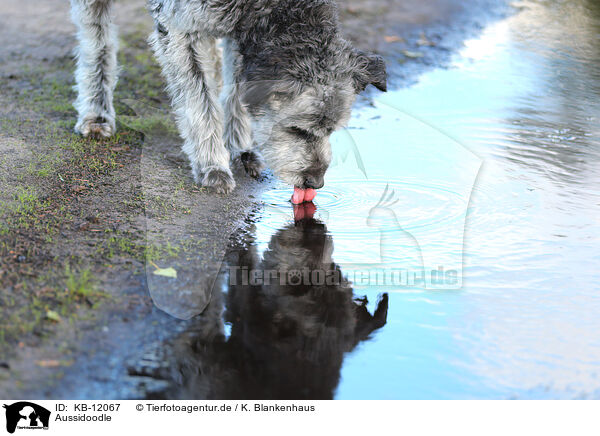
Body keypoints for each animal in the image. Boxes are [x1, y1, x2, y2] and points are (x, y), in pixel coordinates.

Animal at [70, 0, 390, 192]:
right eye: (297, 129)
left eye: (332, 130)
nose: (315, 182)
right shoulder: (177, 27)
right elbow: (199, 100)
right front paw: (212, 164)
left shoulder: (240, 30)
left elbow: (234, 91)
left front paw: (240, 147)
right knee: (96, 40)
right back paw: (96, 111)